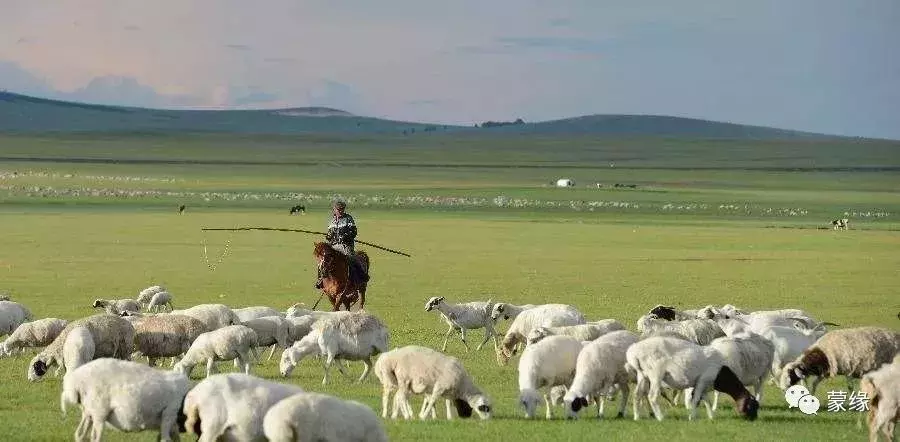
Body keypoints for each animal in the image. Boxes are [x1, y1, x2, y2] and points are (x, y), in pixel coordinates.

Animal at [62, 360, 193, 442]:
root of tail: (75, 381)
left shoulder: (172, 426)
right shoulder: (169, 414)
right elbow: (165, 439)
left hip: (88, 413)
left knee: (79, 435)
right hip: (99, 412)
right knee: (95, 438)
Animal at [624, 334, 760, 422]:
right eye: (752, 406)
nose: (753, 420)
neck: (721, 373)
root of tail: (633, 352)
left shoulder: (703, 384)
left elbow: (706, 401)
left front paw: (711, 417)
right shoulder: (703, 380)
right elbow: (696, 400)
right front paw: (692, 418)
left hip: (642, 375)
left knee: (637, 395)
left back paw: (636, 417)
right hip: (655, 374)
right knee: (652, 397)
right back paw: (660, 418)